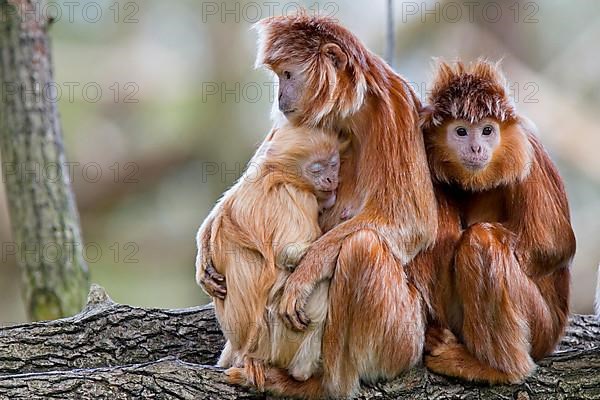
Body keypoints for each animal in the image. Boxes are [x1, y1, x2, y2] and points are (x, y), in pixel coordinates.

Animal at [196, 126, 344, 388]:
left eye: (333, 165)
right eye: (316, 169)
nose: (330, 180)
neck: (275, 174)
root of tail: (243, 349)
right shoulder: (297, 195)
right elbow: (290, 254)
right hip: (273, 340)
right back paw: (301, 371)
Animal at [418, 60, 576, 384]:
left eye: (487, 131)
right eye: (461, 132)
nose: (477, 148)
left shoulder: (530, 154)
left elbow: (551, 245)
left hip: (541, 327)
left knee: (480, 240)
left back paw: (497, 368)